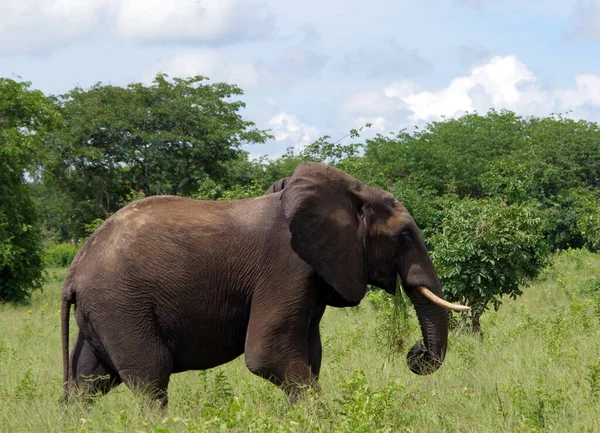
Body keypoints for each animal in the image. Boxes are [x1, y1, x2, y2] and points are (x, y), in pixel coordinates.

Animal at [61, 161, 466, 404]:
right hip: (122, 305)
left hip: (103, 312)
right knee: (150, 377)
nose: (415, 351)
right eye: (404, 237)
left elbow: (308, 354)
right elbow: (267, 354)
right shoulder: (286, 265)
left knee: (89, 381)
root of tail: (73, 271)